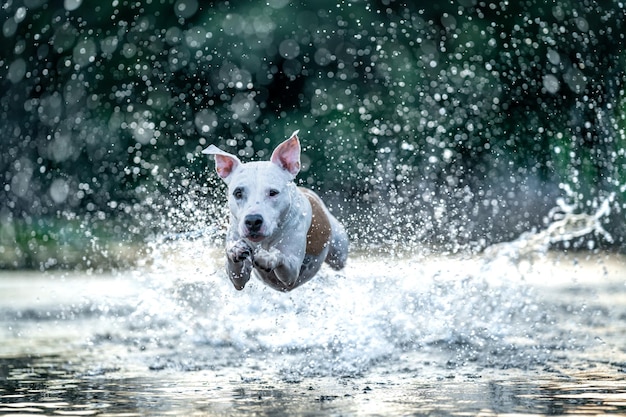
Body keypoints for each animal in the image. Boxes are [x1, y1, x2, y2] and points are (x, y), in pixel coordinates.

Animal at [202, 132, 348, 290]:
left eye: (273, 193)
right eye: (238, 193)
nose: (253, 221)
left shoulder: (291, 272)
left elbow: (281, 257)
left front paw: (268, 257)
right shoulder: (238, 278)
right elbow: (237, 273)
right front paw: (235, 249)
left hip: (339, 253)